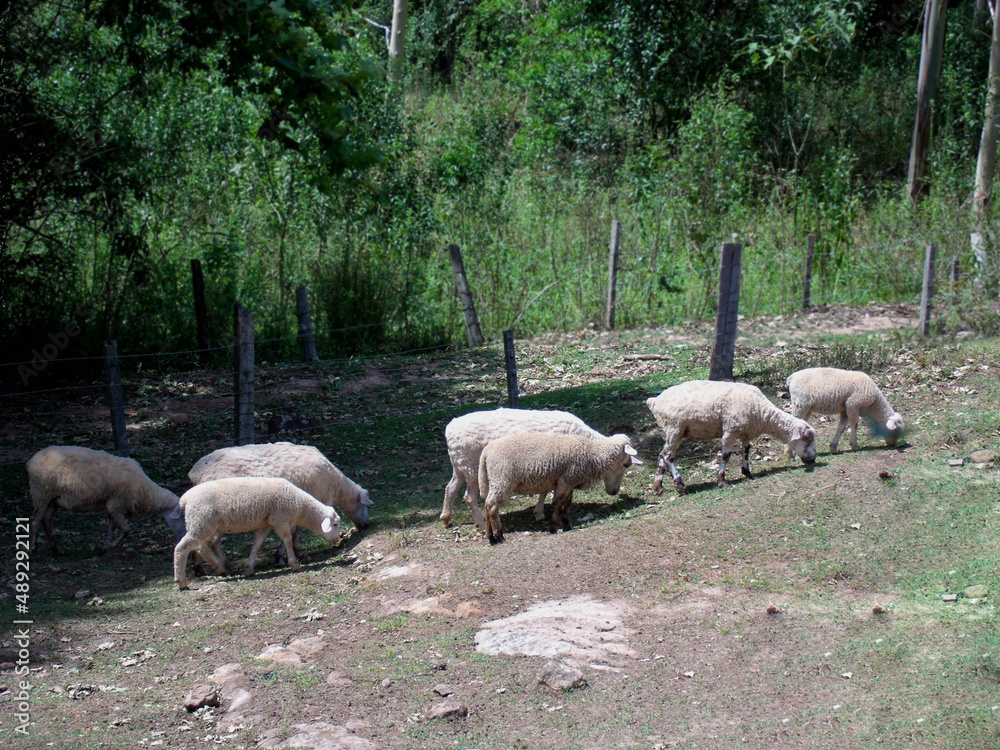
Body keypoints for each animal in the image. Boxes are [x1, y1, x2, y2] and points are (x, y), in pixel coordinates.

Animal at [27, 446, 186, 554]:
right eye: (182, 518)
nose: (183, 536)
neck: (146, 492)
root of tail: (31, 460)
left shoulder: (113, 506)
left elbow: (111, 526)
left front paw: (105, 545)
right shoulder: (117, 504)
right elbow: (126, 530)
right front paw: (110, 546)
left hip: (53, 500)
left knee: (46, 520)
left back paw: (55, 549)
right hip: (41, 493)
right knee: (35, 522)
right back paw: (34, 549)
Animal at [173, 476, 342, 590]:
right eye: (335, 524)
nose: (338, 540)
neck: (300, 506)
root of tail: (184, 499)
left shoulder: (265, 524)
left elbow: (257, 543)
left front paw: (249, 568)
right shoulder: (279, 519)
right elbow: (287, 540)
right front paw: (294, 563)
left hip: (201, 525)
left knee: (200, 547)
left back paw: (220, 567)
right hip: (201, 522)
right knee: (183, 548)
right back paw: (181, 581)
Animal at [441, 408, 608, 530]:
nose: (612, 492)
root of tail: (450, 428)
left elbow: (544, 490)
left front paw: (539, 511)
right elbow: (546, 490)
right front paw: (542, 511)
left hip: (460, 465)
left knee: (450, 488)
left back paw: (446, 518)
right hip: (471, 467)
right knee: (469, 497)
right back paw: (481, 524)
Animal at [477, 432, 642, 544]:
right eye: (626, 465)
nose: (614, 492)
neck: (592, 455)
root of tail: (486, 452)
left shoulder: (569, 482)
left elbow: (566, 505)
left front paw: (566, 525)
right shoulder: (565, 480)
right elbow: (557, 504)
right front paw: (553, 527)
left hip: (497, 481)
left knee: (488, 505)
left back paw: (491, 537)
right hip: (502, 480)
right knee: (492, 506)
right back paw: (498, 536)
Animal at [646, 380, 817, 495]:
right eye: (807, 438)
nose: (813, 459)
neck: (763, 414)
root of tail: (654, 401)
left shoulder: (745, 431)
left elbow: (746, 450)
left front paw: (747, 472)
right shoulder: (730, 430)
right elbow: (726, 456)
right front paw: (721, 481)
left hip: (670, 431)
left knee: (661, 455)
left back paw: (658, 487)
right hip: (675, 428)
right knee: (668, 457)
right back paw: (679, 484)